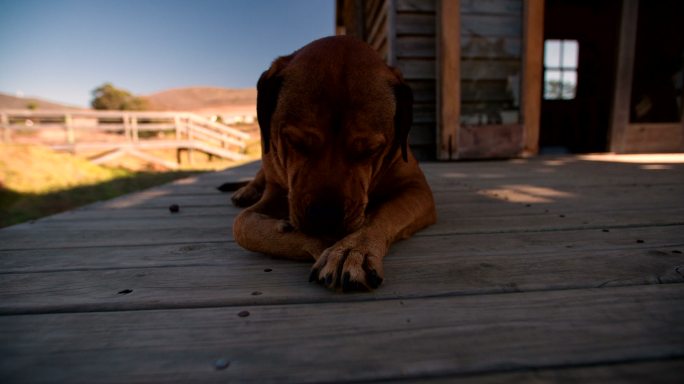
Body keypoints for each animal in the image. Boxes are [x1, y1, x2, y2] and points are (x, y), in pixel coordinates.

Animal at [231, 37, 432, 292]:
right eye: (295, 142)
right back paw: (245, 191)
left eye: (370, 150)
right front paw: (314, 241)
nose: (325, 216)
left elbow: (382, 213)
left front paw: (352, 248)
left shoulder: (417, 189)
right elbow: (242, 225)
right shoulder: (276, 191)